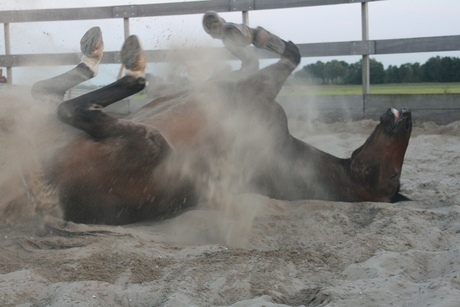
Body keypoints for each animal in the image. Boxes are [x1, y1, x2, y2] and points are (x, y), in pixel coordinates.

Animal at [32, 12, 414, 224]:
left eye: (393, 177)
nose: (407, 114)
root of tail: (40, 198)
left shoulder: (253, 92)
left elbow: (284, 59)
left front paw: (236, 31)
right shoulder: (237, 85)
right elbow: (278, 55)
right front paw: (235, 30)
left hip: (149, 144)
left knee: (72, 106)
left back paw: (126, 61)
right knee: (42, 92)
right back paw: (95, 51)